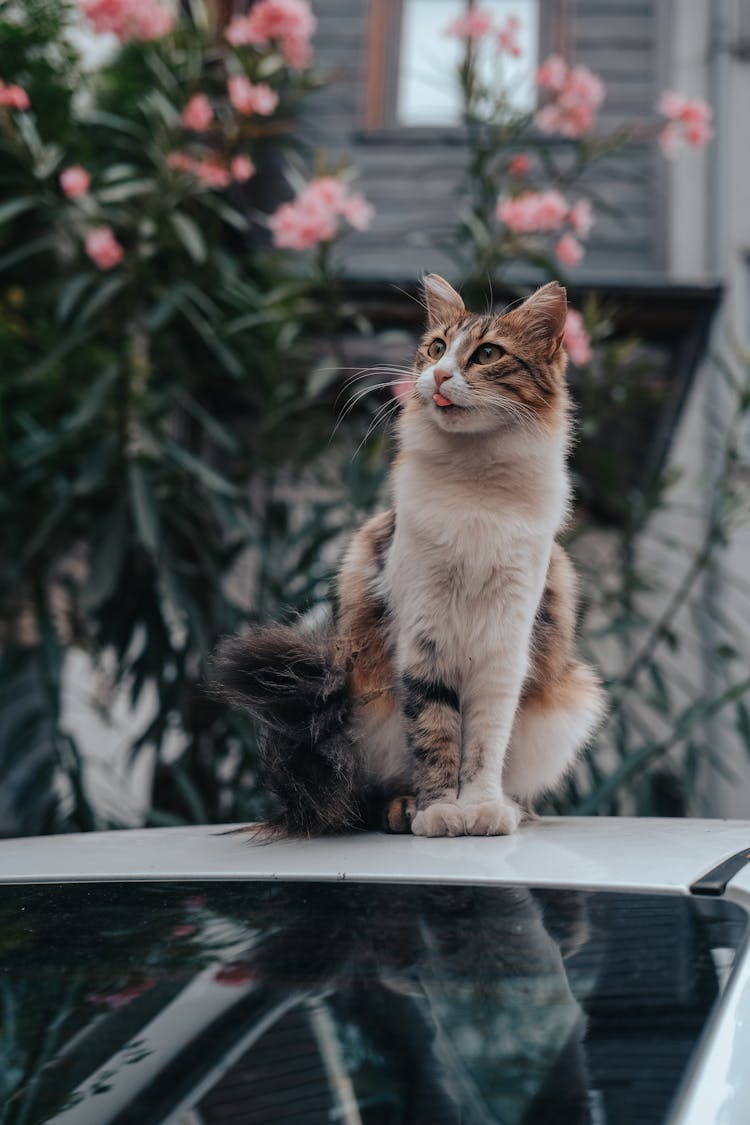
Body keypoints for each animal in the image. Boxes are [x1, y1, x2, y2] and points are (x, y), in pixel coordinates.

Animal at [210, 272, 602, 837]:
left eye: (486, 354)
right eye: (436, 348)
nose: (437, 375)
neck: (476, 489)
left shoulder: (504, 648)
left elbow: (484, 743)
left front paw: (481, 808)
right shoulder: (424, 638)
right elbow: (435, 734)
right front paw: (440, 811)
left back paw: (512, 808)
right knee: (367, 794)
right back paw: (404, 807)